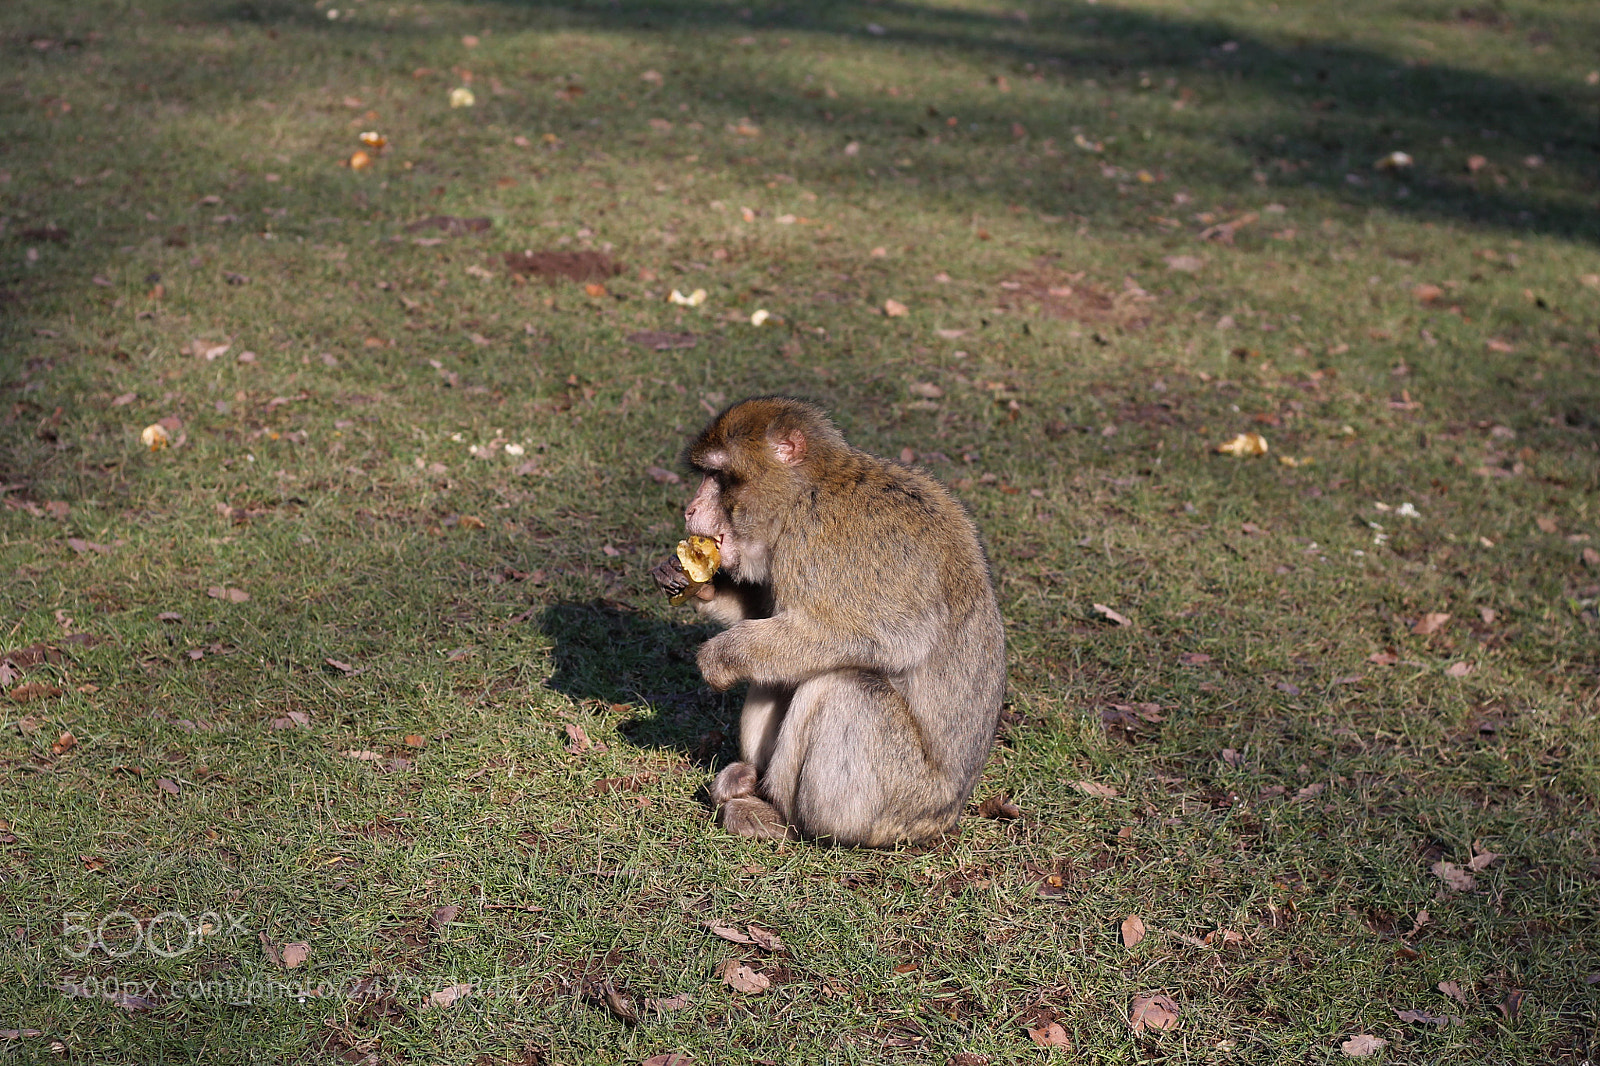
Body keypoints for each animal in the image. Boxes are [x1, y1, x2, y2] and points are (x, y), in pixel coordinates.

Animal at [650, 397, 1005, 847]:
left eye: (718, 476)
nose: (690, 509)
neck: (805, 492)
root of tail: (947, 815)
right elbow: (766, 615)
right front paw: (697, 584)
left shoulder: (821, 541)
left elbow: (894, 638)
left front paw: (721, 656)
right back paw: (747, 778)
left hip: (899, 802)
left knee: (844, 685)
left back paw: (779, 816)